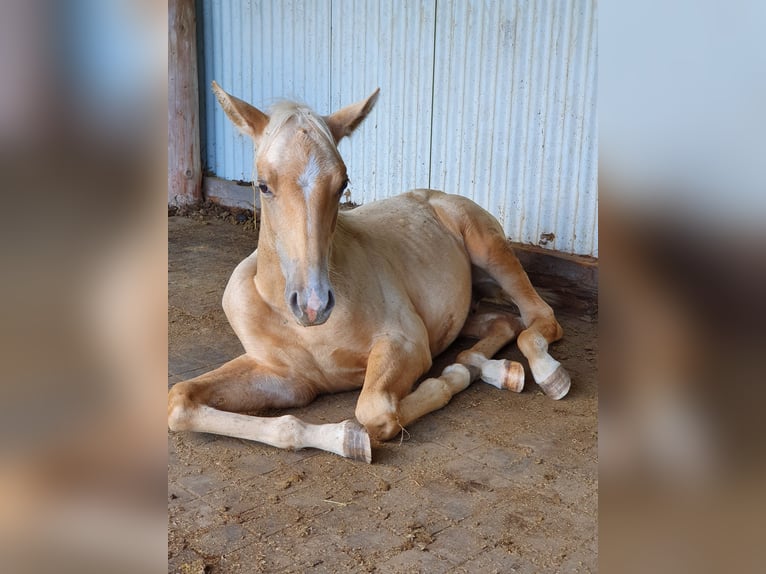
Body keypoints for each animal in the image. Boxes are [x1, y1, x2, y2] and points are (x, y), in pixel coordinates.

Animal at [170, 84, 576, 464]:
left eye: (343, 183)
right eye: (263, 185)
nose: (313, 305)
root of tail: (441, 196)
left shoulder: (407, 342)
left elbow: (375, 411)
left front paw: (359, 434)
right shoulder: (284, 378)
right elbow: (181, 400)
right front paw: (341, 439)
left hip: (491, 251)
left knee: (538, 318)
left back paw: (547, 375)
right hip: (460, 316)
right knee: (504, 323)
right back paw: (493, 368)